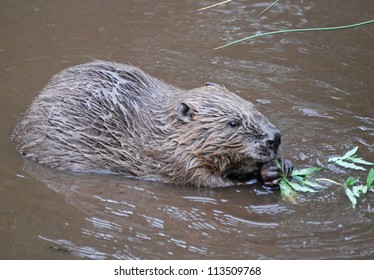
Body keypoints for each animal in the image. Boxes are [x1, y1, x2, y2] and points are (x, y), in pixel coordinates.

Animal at [10, 60, 292, 187]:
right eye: (233, 123)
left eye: (253, 107)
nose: (274, 138)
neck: (162, 130)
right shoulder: (175, 160)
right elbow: (208, 181)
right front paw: (266, 174)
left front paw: (282, 166)